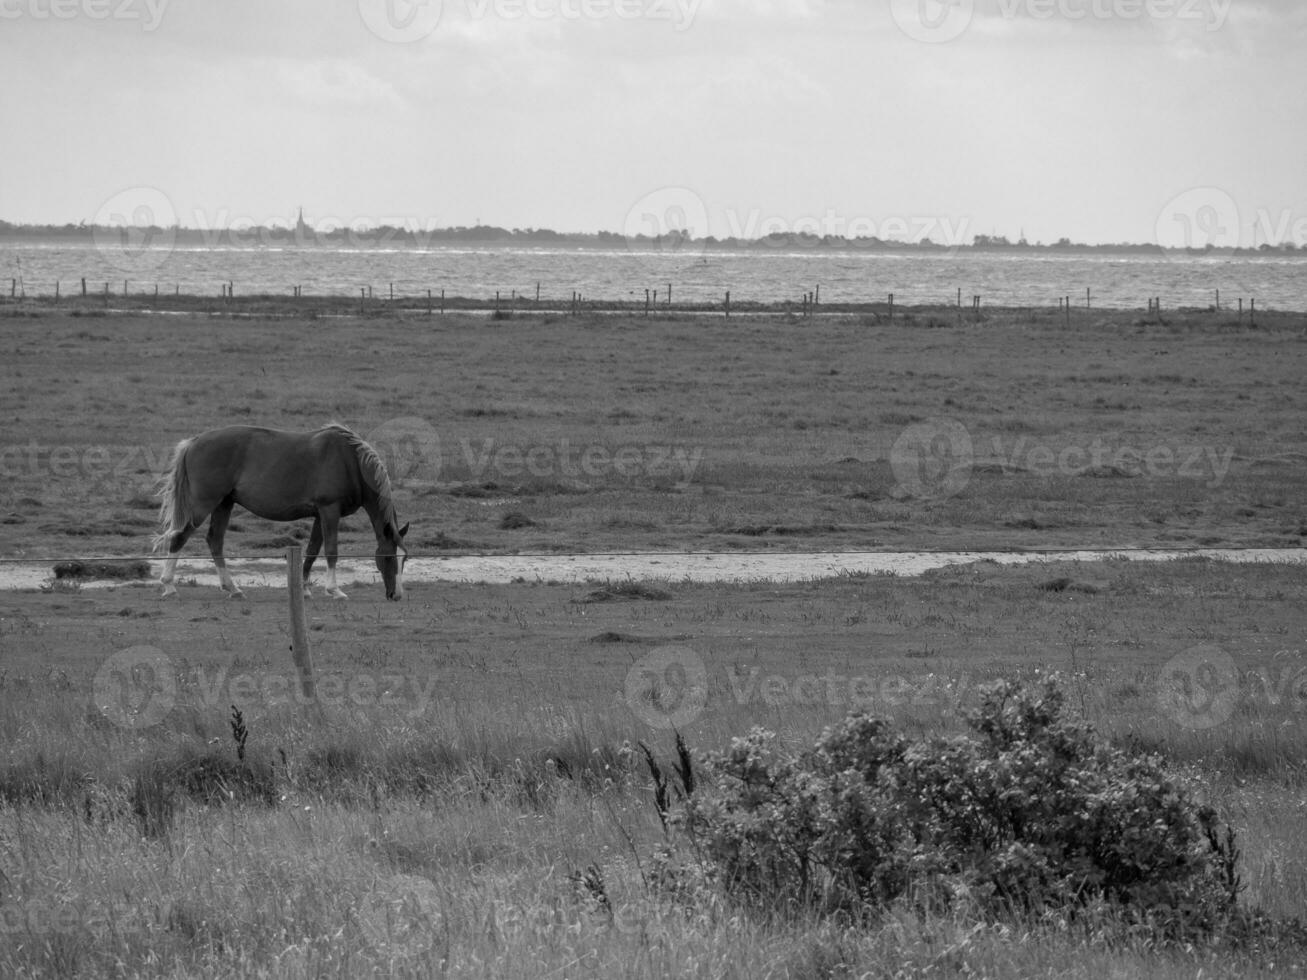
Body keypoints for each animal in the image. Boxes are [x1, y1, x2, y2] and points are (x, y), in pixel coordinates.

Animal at [151, 425, 407, 603]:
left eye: (404, 559)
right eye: (388, 557)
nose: (396, 595)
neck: (349, 461)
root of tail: (193, 442)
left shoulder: (319, 515)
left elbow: (312, 551)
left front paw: (304, 589)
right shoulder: (329, 510)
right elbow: (331, 551)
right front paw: (334, 590)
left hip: (224, 504)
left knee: (215, 541)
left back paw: (233, 589)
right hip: (204, 505)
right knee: (179, 538)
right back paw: (169, 586)